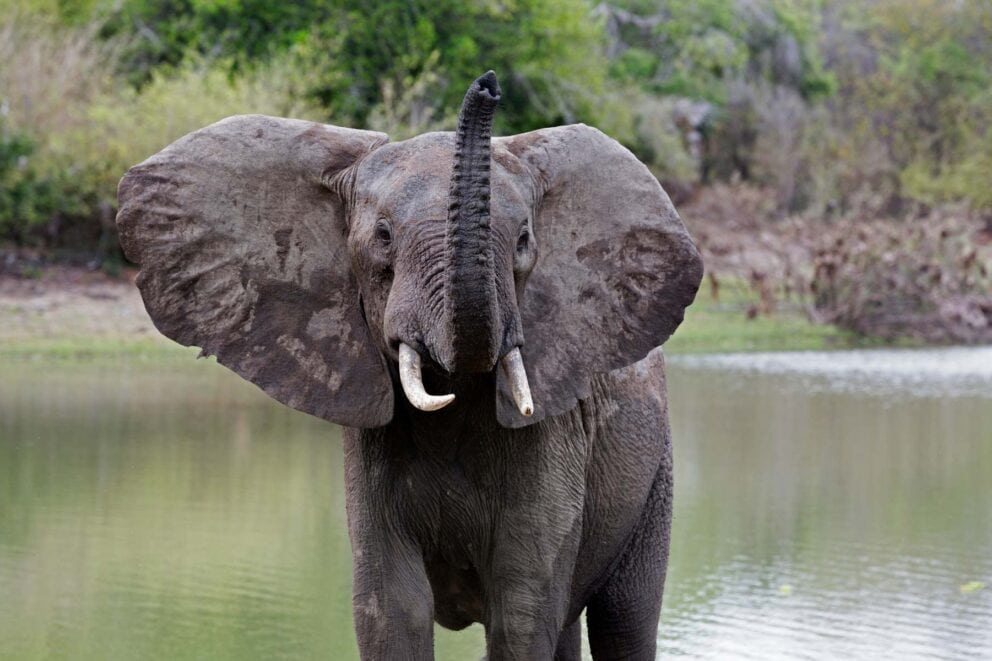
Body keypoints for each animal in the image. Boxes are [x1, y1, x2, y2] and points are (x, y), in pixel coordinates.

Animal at [116, 71, 703, 660]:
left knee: (623, 619)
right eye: (382, 236)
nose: (487, 84)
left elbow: (521, 614)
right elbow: (391, 609)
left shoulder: (554, 437)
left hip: (655, 473)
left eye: (523, 241)